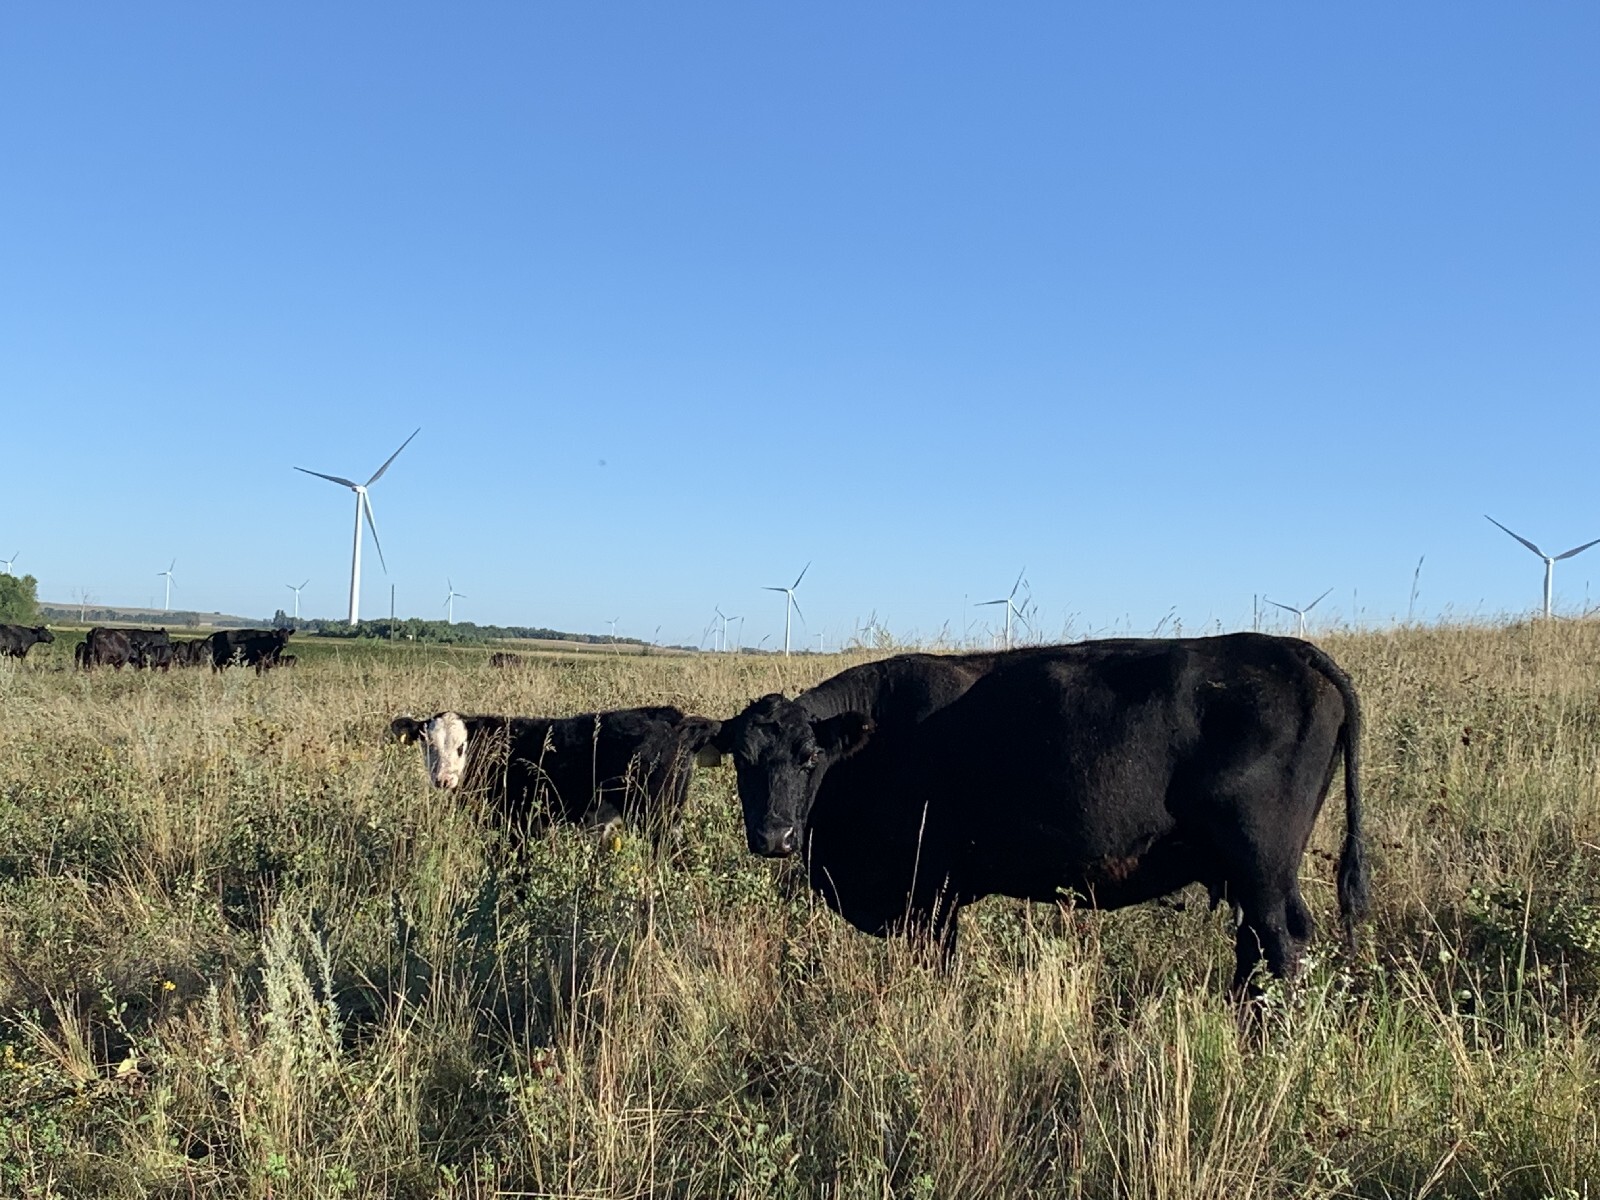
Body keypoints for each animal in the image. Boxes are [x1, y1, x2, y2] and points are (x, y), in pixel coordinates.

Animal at [390, 705, 724, 843]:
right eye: (428, 745)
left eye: (462, 747)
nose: (443, 779)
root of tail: (672, 718)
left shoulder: (519, 824)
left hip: (658, 816)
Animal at [708, 635, 1367, 995]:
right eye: (742, 758)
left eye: (810, 756)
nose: (773, 835)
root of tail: (1293, 650)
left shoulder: (930, 891)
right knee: (1256, 949)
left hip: (1263, 865)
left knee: (1279, 946)